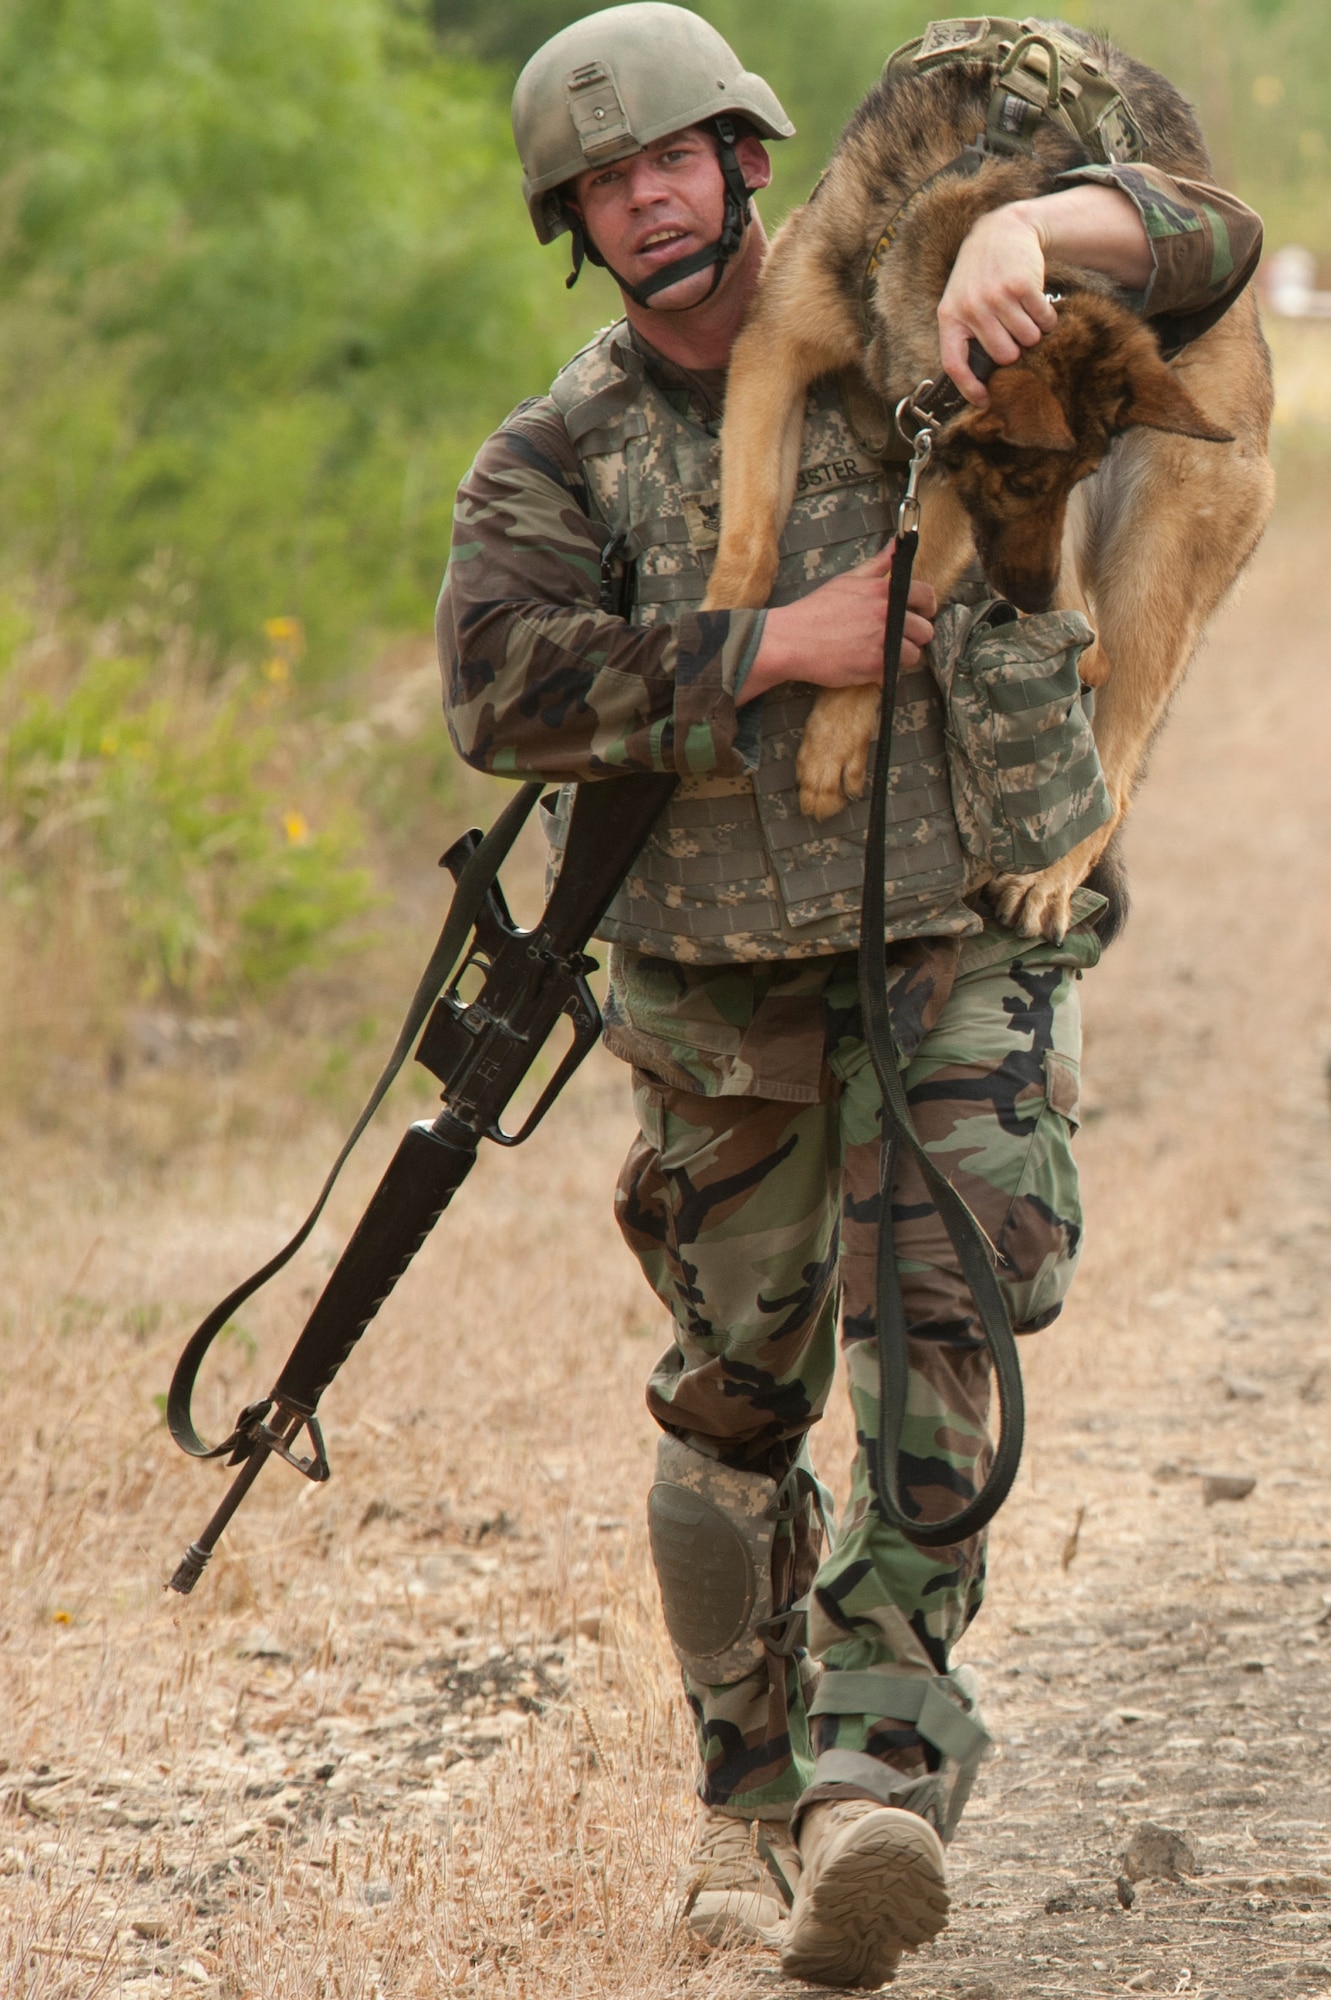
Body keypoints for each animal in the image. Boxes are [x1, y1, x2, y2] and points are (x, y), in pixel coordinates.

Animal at [699, 21, 1271, 944]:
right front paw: (715, 635)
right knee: (1093, 663)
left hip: (1152, 574)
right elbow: (751, 545)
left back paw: (1047, 878)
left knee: (1114, 749)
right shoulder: (771, 357)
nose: (1029, 596)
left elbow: (897, 596)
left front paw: (833, 738)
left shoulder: (937, 476)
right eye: (1026, 477)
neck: (941, 206)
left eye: (1064, 474)